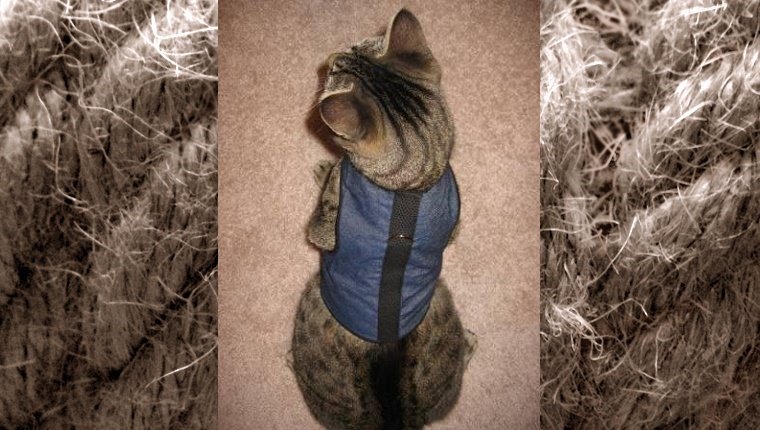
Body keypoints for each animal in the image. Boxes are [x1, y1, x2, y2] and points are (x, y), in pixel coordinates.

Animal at [290, 10, 476, 430]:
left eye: (335, 72)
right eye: (353, 47)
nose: (330, 57)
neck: (412, 192)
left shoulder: (323, 226)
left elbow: (321, 211)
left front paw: (325, 168)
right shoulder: (455, 222)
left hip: (314, 293)